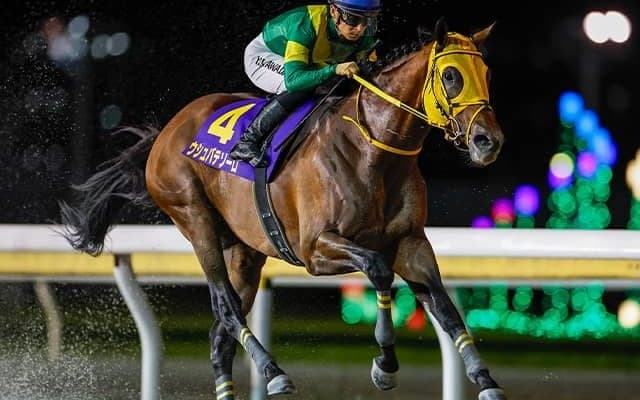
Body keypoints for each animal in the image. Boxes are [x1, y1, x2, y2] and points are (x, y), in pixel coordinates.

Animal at [59, 18, 506, 400]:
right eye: (451, 76)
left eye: (487, 75)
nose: (488, 141)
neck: (374, 153)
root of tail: (165, 133)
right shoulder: (315, 249)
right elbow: (378, 270)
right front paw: (385, 365)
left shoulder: (411, 244)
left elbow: (446, 310)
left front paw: (485, 379)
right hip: (194, 218)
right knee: (226, 309)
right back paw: (273, 373)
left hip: (243, 251)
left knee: (219, 337)